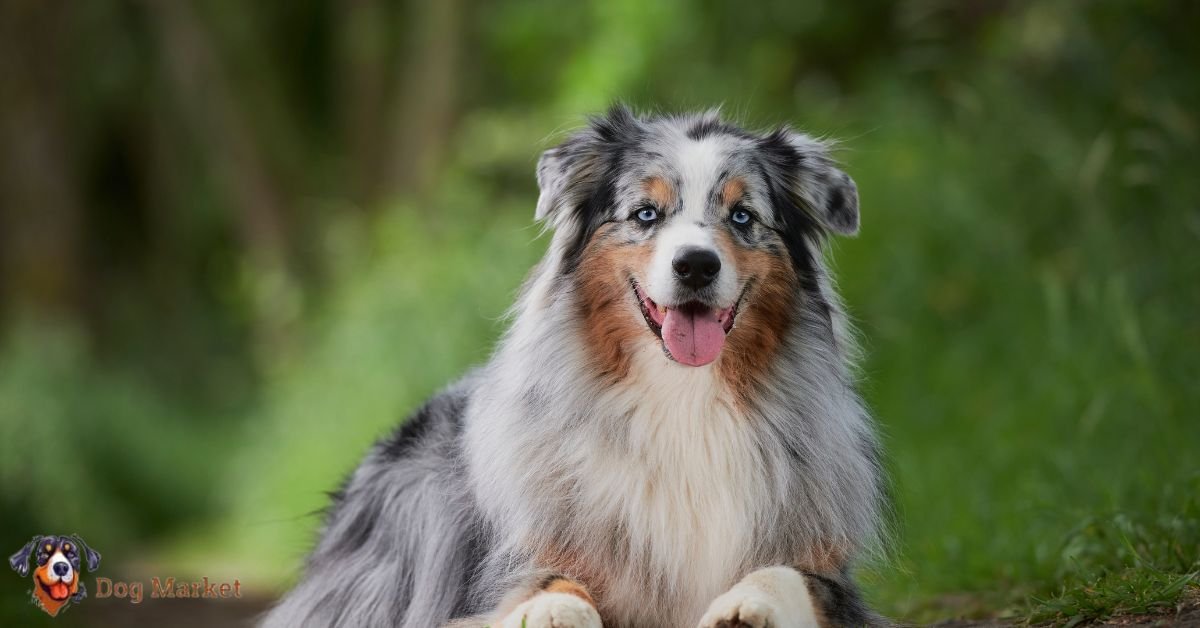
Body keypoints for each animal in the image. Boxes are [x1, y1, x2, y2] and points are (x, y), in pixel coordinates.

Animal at [260, 105, 883, 624]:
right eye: (645, 213)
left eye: (743, 216)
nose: (696, 266)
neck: (681, 396)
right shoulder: (516, 560)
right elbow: (549, 581)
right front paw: (556, 611)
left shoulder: (826, 568)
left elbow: (790, 575)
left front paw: (746, 607)